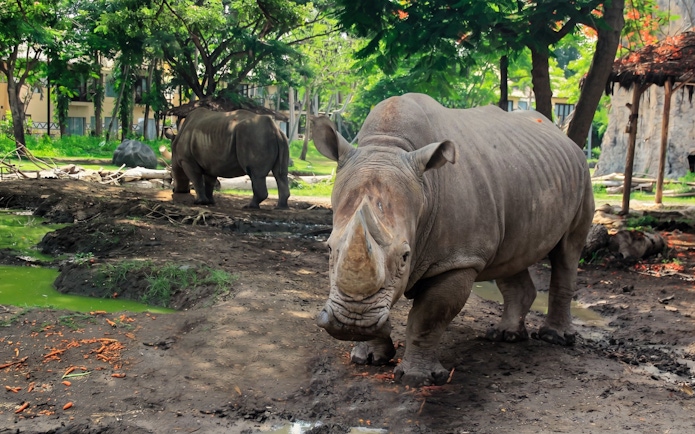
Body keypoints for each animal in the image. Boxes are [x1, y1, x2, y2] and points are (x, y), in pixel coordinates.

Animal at [312, 93, 594, 387]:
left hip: (582, 175)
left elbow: (428, 316)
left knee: (568, 251)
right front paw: (367, 357)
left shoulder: (458, 259)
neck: (389, 146)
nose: (350, 323)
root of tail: (566, 140)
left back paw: (555, 338)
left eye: (405, 257)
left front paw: (417, 378)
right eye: (329, 248)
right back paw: (506, 335)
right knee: (510, 258)